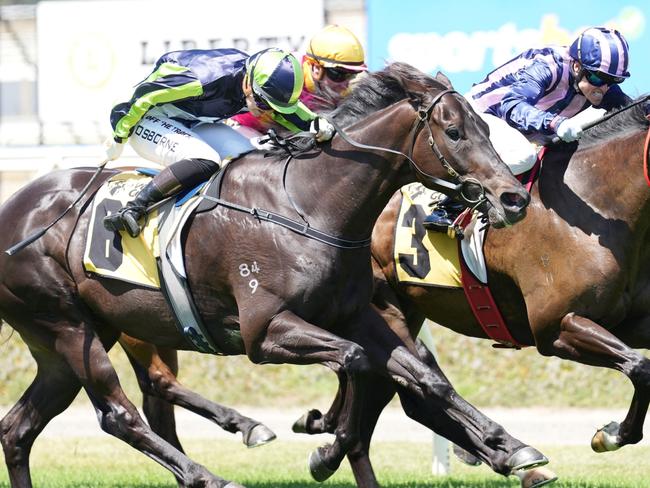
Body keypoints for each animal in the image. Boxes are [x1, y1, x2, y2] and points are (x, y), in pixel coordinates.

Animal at [0, 65, 532, 488]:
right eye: (454, 132)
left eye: (486, 126)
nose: (513, 198)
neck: (310, 205)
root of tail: (13, 208)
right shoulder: (265, 331)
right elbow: (355, 361)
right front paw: (328, 446)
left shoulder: (356, 316)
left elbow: (424, 377)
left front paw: (505, 443)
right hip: (69, 327)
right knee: (118, 414)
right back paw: (209, 475)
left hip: (73, 339)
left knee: (18, 429)